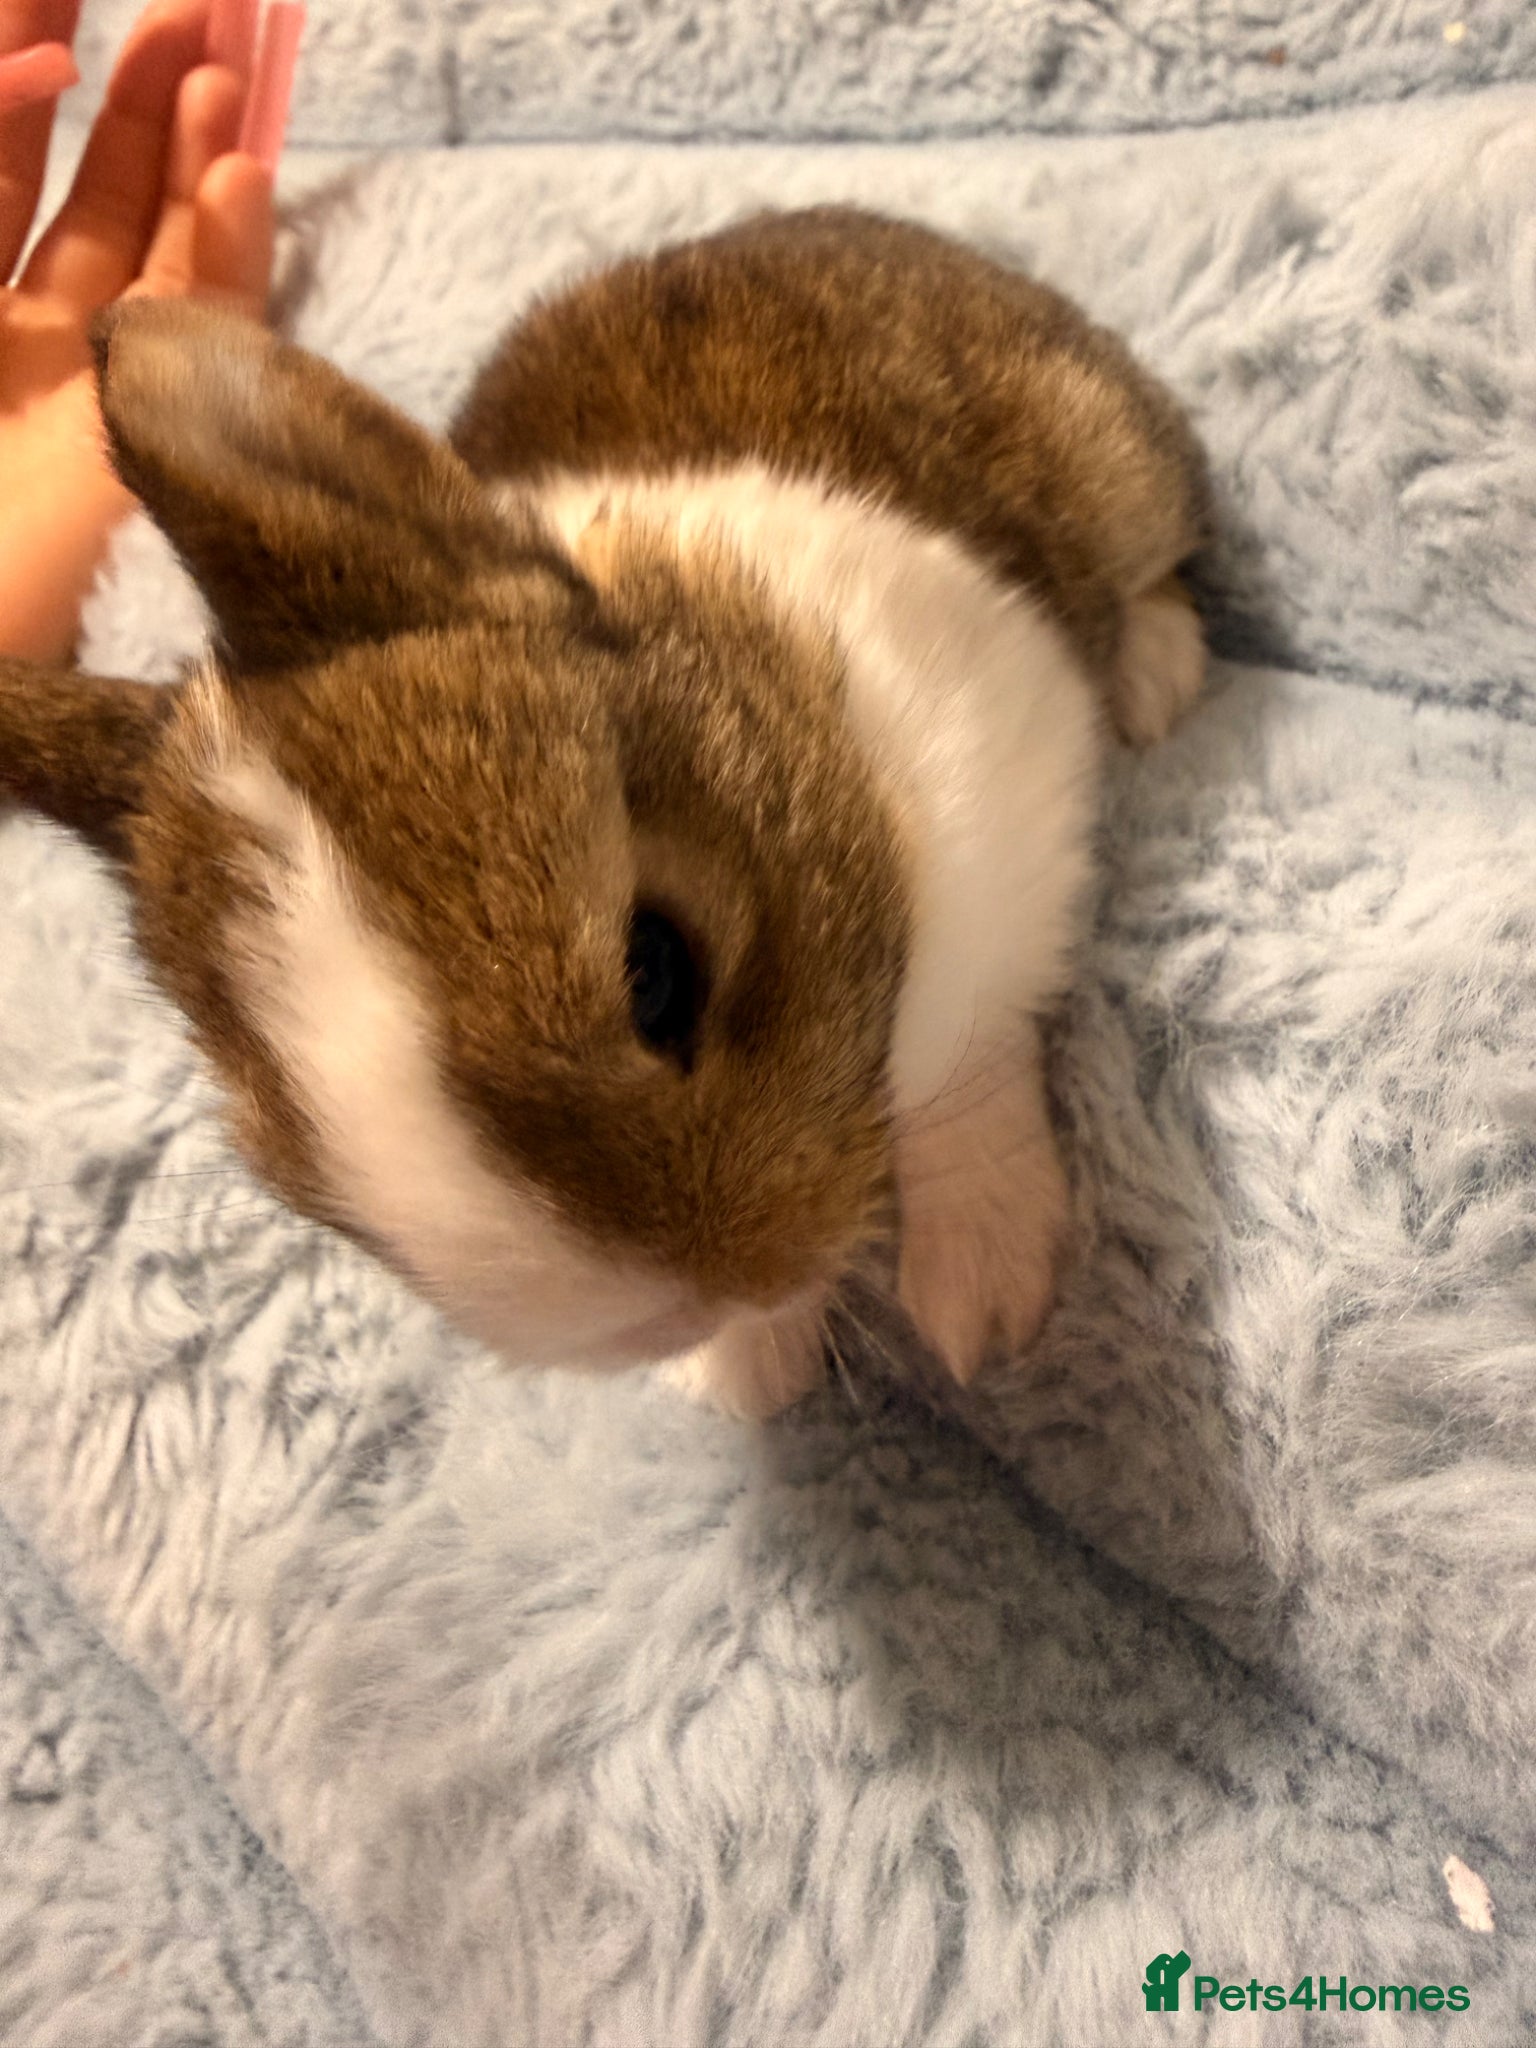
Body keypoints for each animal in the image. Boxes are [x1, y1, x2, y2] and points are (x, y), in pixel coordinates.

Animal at [0, 205, 1210, 1419]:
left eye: (657, 966)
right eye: (305, 1184)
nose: (707, 1298)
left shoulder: (1005, 798)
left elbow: (963, 1066)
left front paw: (985, 1292)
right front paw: (742, 1369)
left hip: (1120, 478)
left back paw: (1157, 675)